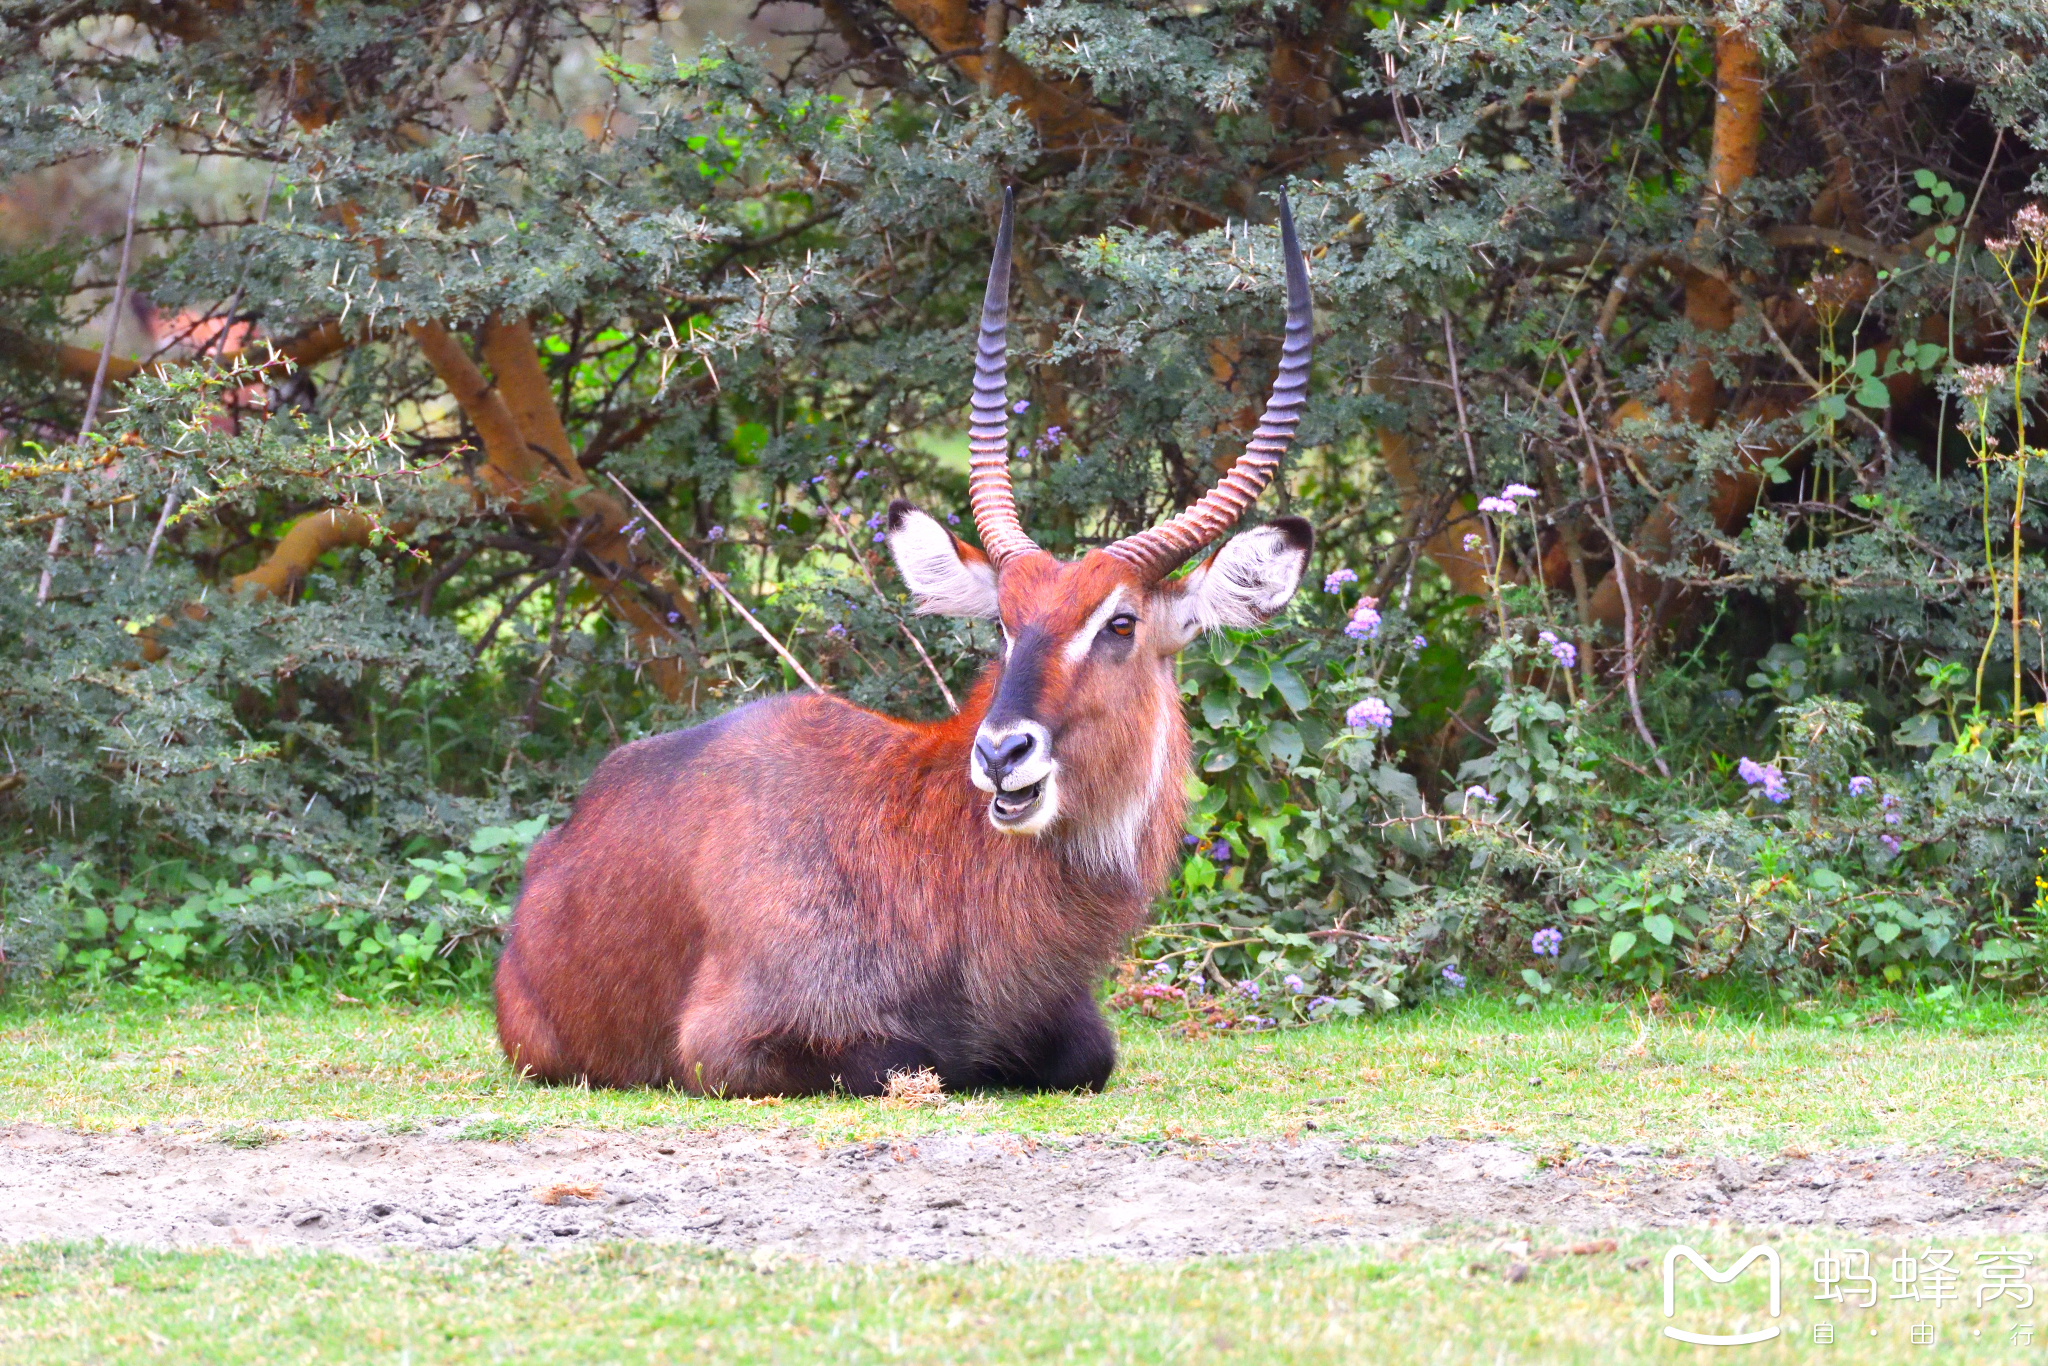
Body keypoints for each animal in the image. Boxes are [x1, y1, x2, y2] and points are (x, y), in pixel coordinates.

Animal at [495, 187, 1310, 1097]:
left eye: (1120, 623)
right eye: (1003, 622)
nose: (1001, 753)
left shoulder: (1077, 1031)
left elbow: (1086, 1056)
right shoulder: (728, 1046)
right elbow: (909, 1060)